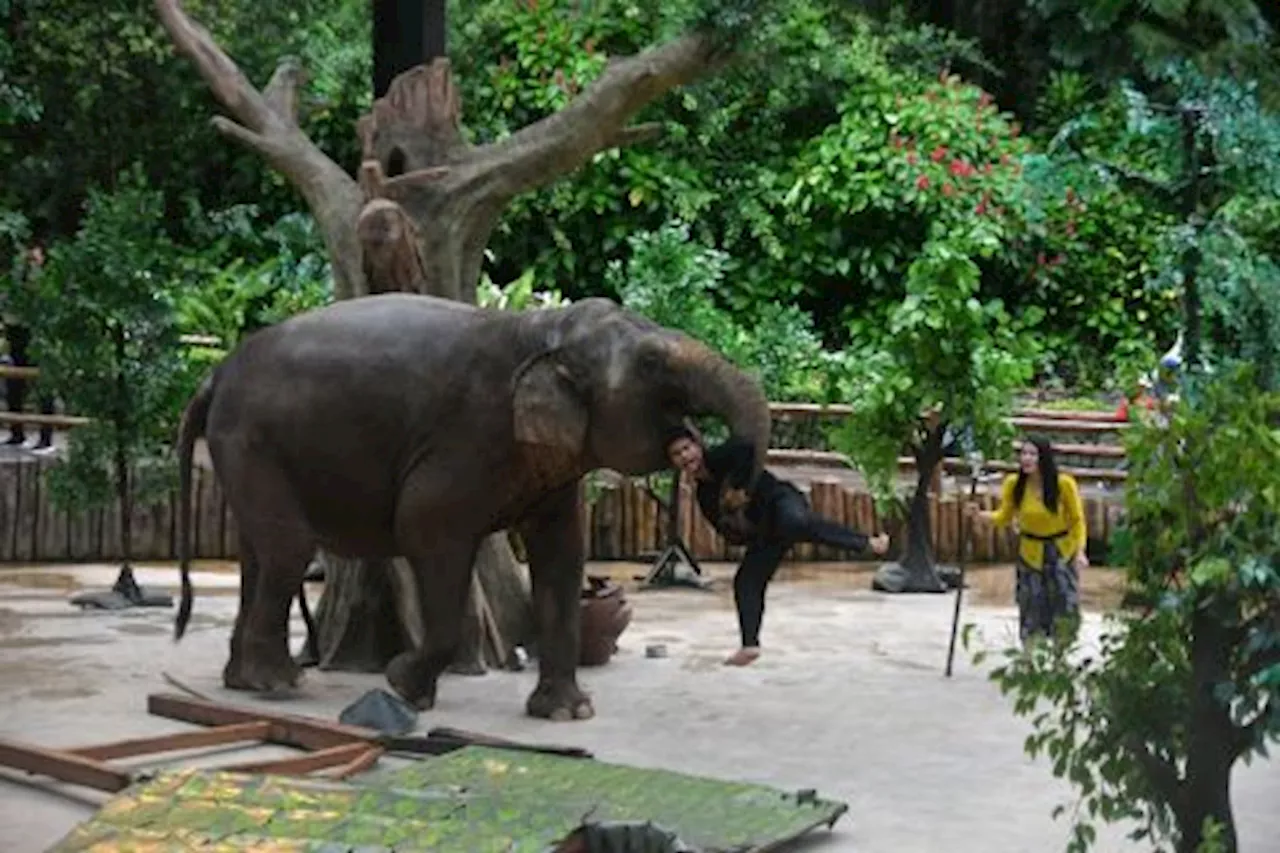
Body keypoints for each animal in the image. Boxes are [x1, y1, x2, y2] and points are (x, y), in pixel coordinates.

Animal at [172, 292, 768, 717]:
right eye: (650, 363)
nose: (722, 474)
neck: (541, 327)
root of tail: (213, 375)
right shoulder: (467, 440)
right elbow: (424, 529)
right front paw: (402, 686)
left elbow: (562, 555)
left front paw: (567, 714)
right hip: (251, 440)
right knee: (287, 548)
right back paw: (278, 684)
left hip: (246, 448)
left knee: (258, 553)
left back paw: (241, 682)